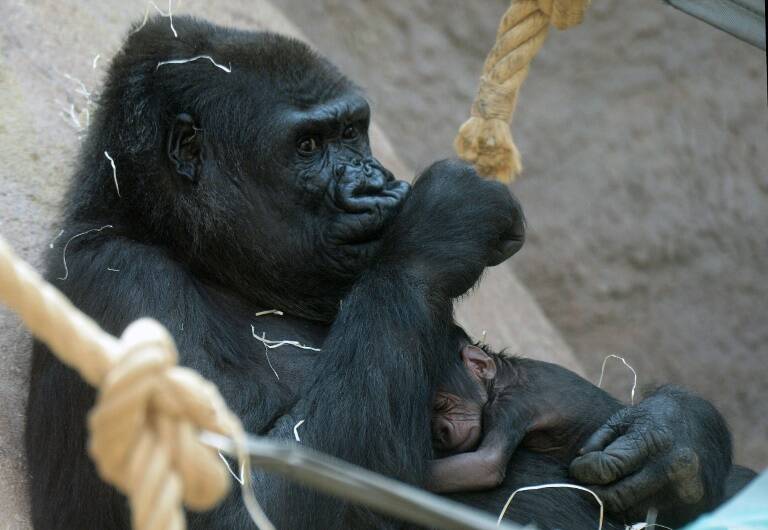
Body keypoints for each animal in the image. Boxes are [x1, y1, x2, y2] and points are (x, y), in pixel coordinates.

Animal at [25, 16, 732, 528]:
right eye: (309, 147)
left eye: (352, 133)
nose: (376, 183)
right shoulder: (118, 282)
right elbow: (240, 508)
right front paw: (440, 225)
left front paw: (673, 437)